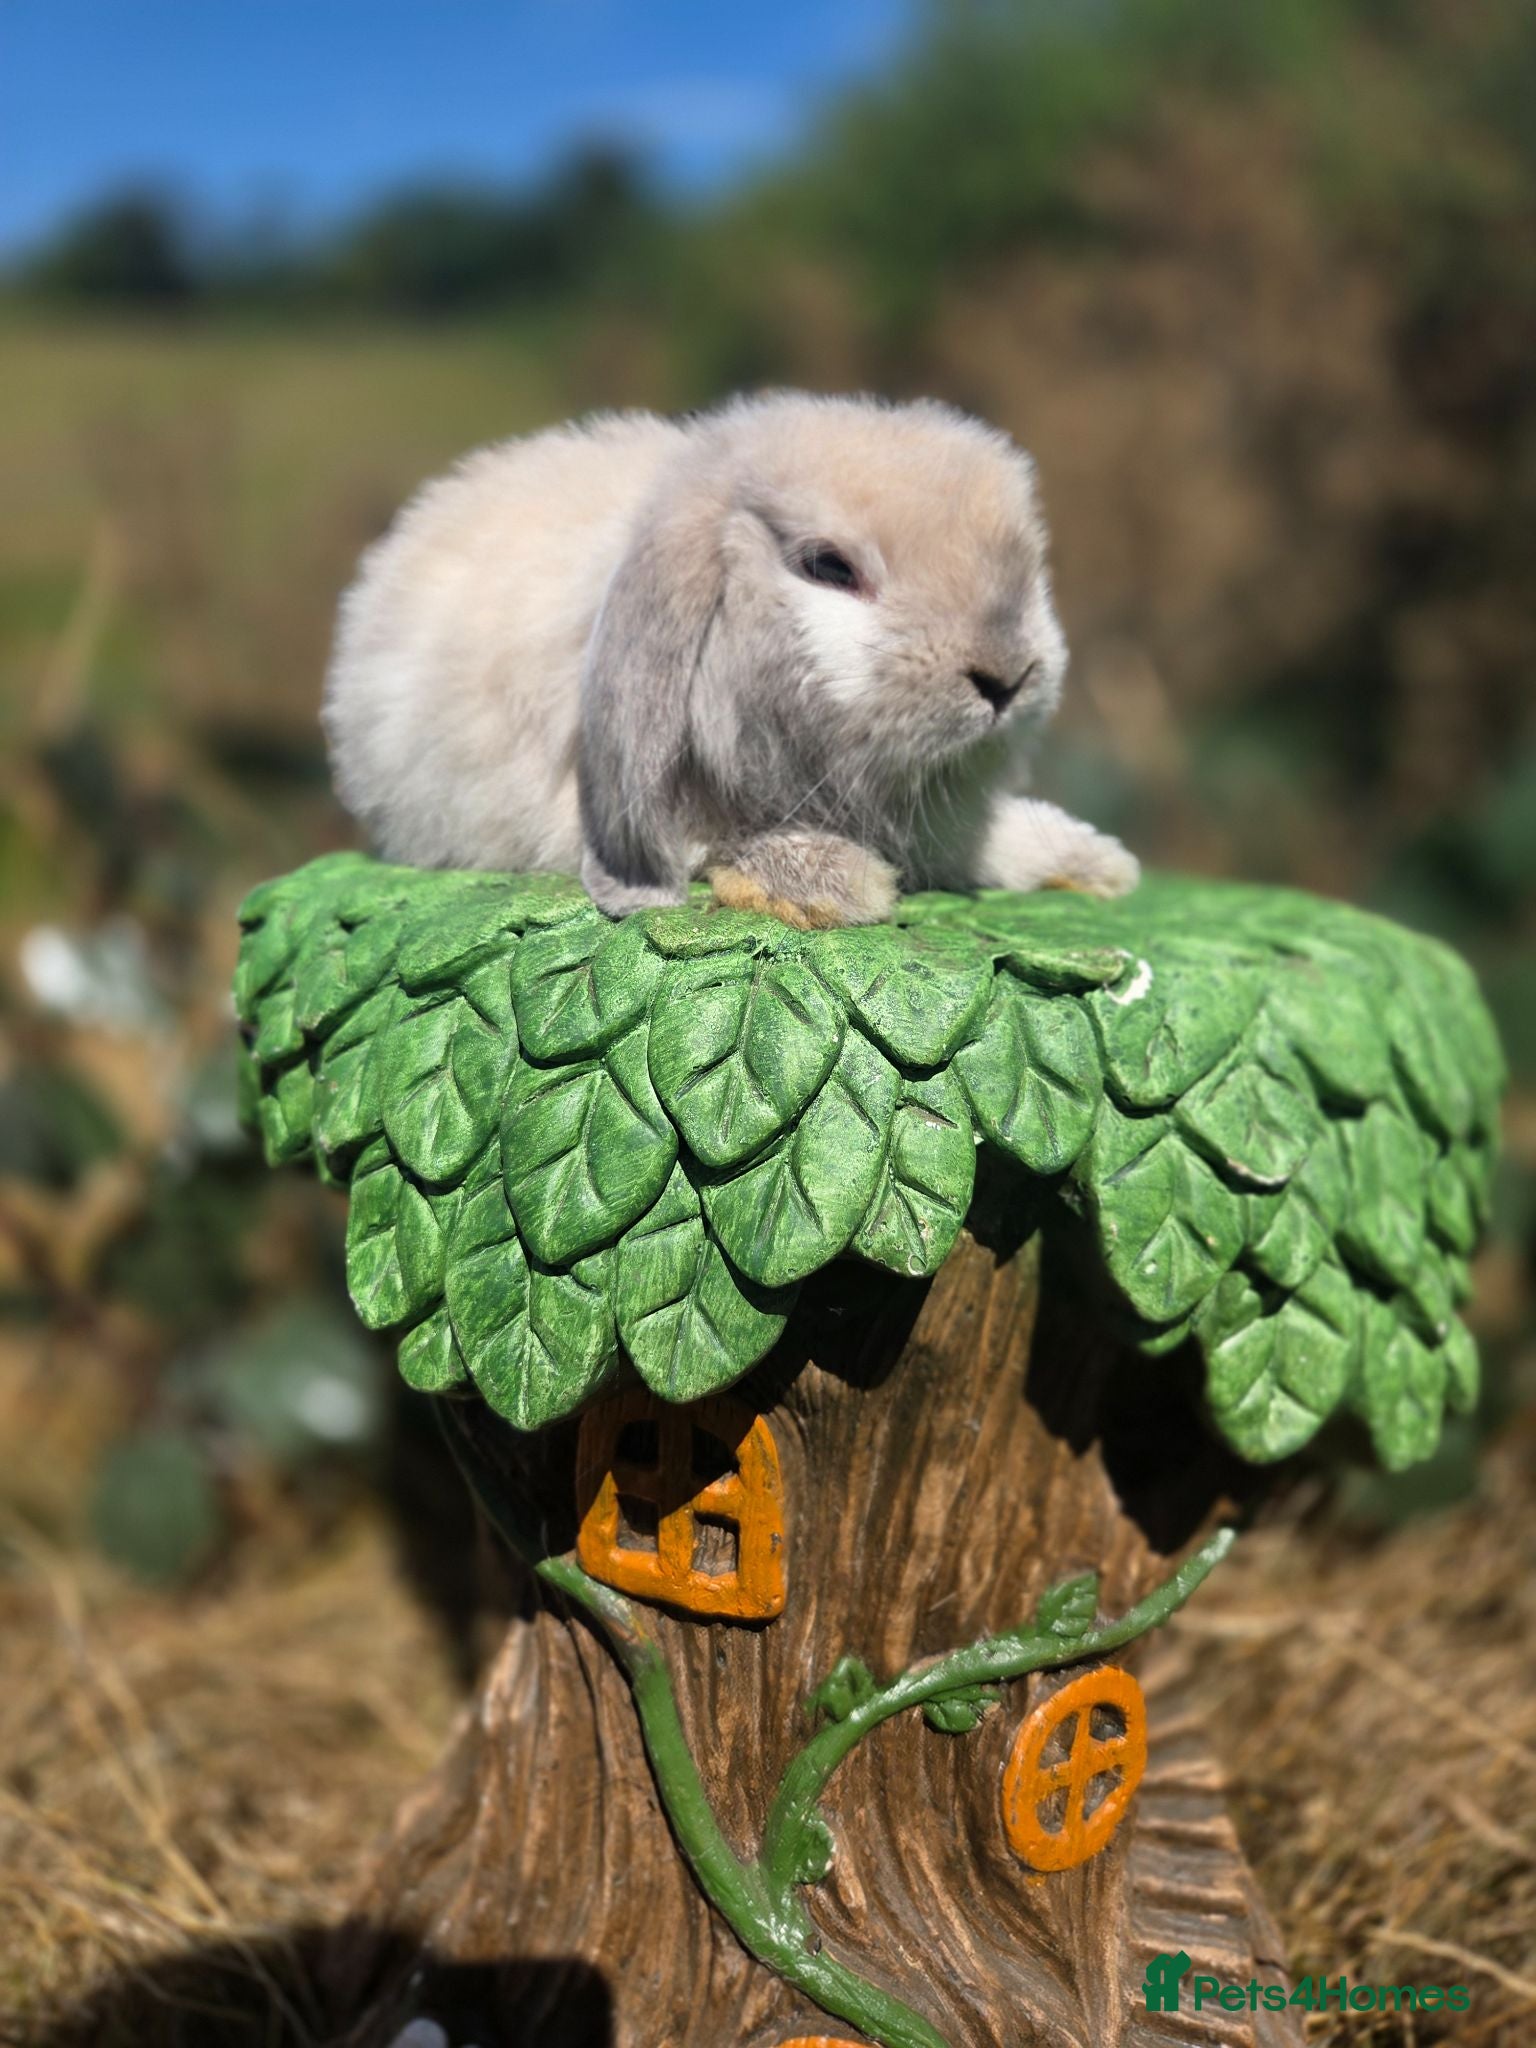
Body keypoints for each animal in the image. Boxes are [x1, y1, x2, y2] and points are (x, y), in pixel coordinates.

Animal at [323, 391, 1139, 928]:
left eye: (1029, 574)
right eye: (828, 568)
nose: (1008, 678)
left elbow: (979, 841)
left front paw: (1096, 865)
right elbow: (722, 844)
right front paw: (837, 886)